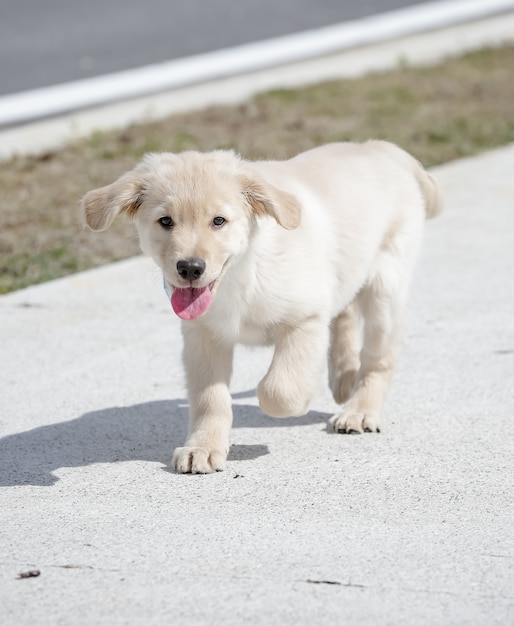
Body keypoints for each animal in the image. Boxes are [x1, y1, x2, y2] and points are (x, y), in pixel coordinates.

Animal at [81, 140, 440, 472]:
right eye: (165, 221)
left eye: (219, 221)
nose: (190, 268)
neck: (242, 275)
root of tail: (378, 146)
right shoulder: (203, 339)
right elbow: (210, 399)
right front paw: (203, 447)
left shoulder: (307, 319)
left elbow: (279, 389)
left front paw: (297, 396)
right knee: (345, 311)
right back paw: (343, 378)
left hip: (385, 283)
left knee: (378, 359)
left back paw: (360, 409)